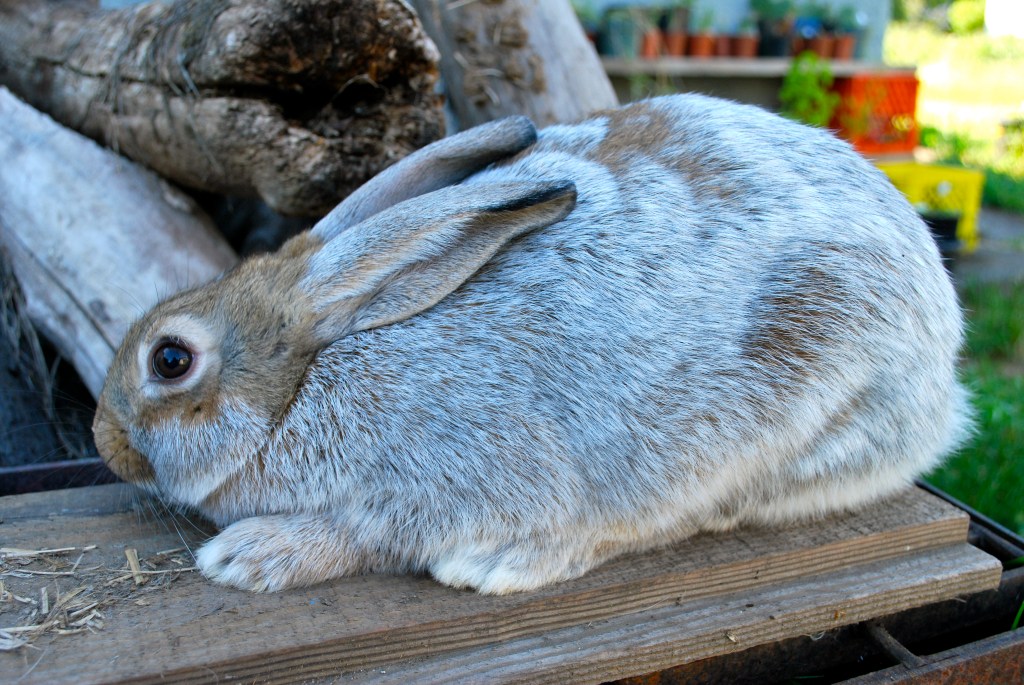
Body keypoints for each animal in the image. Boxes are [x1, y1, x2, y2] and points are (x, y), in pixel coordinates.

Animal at [92, 93, 971, 594]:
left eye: (170, 358)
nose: (103, 440)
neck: (307, 380)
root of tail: (944, 371)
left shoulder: (440, 483)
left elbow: (363, 535)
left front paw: (248, 556)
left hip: (777, 423)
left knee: (671, 518)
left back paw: (498, 566)